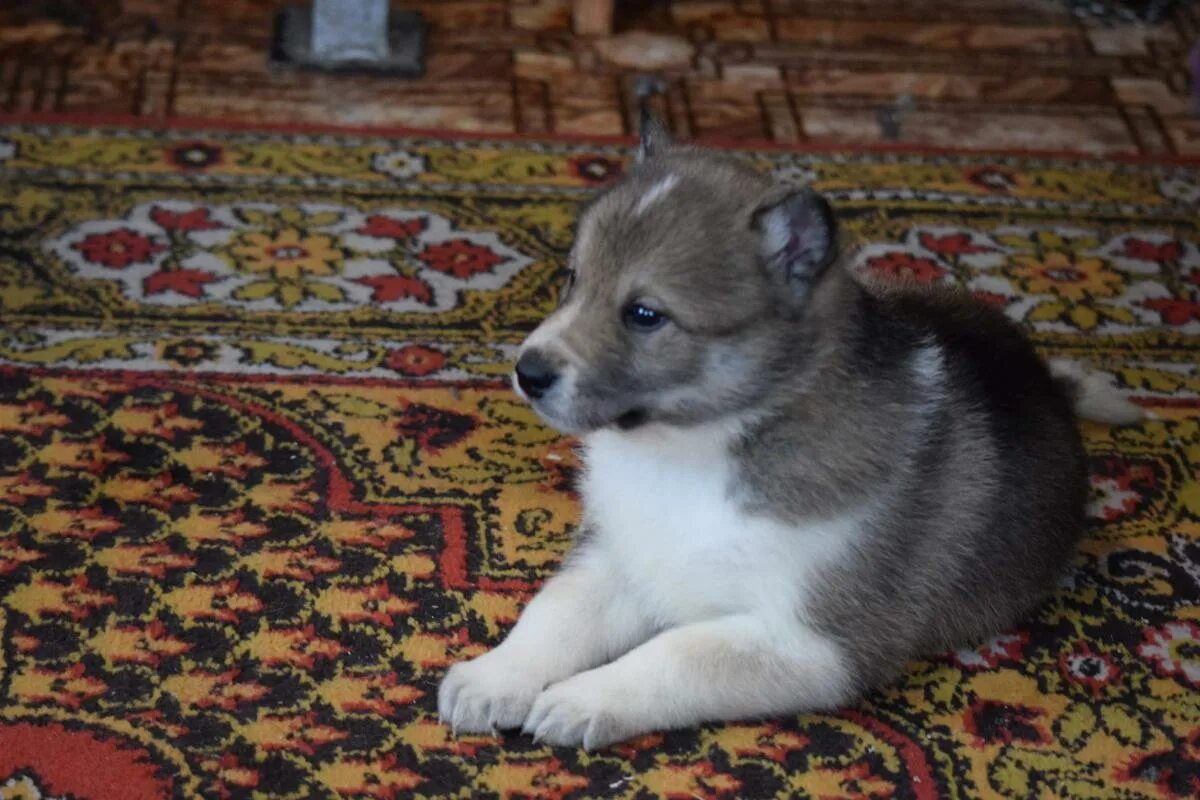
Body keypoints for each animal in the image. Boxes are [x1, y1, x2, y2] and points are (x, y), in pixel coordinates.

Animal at [436, 117, 1137, 753]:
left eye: (644, 314)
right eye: (573, 278)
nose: (529, 373)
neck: (691, 454)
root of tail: (1046, 379)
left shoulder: (816, 644)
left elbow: (675, 652)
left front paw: (582, 700)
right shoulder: (621, 555)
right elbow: (555, 611)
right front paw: (493, 678)